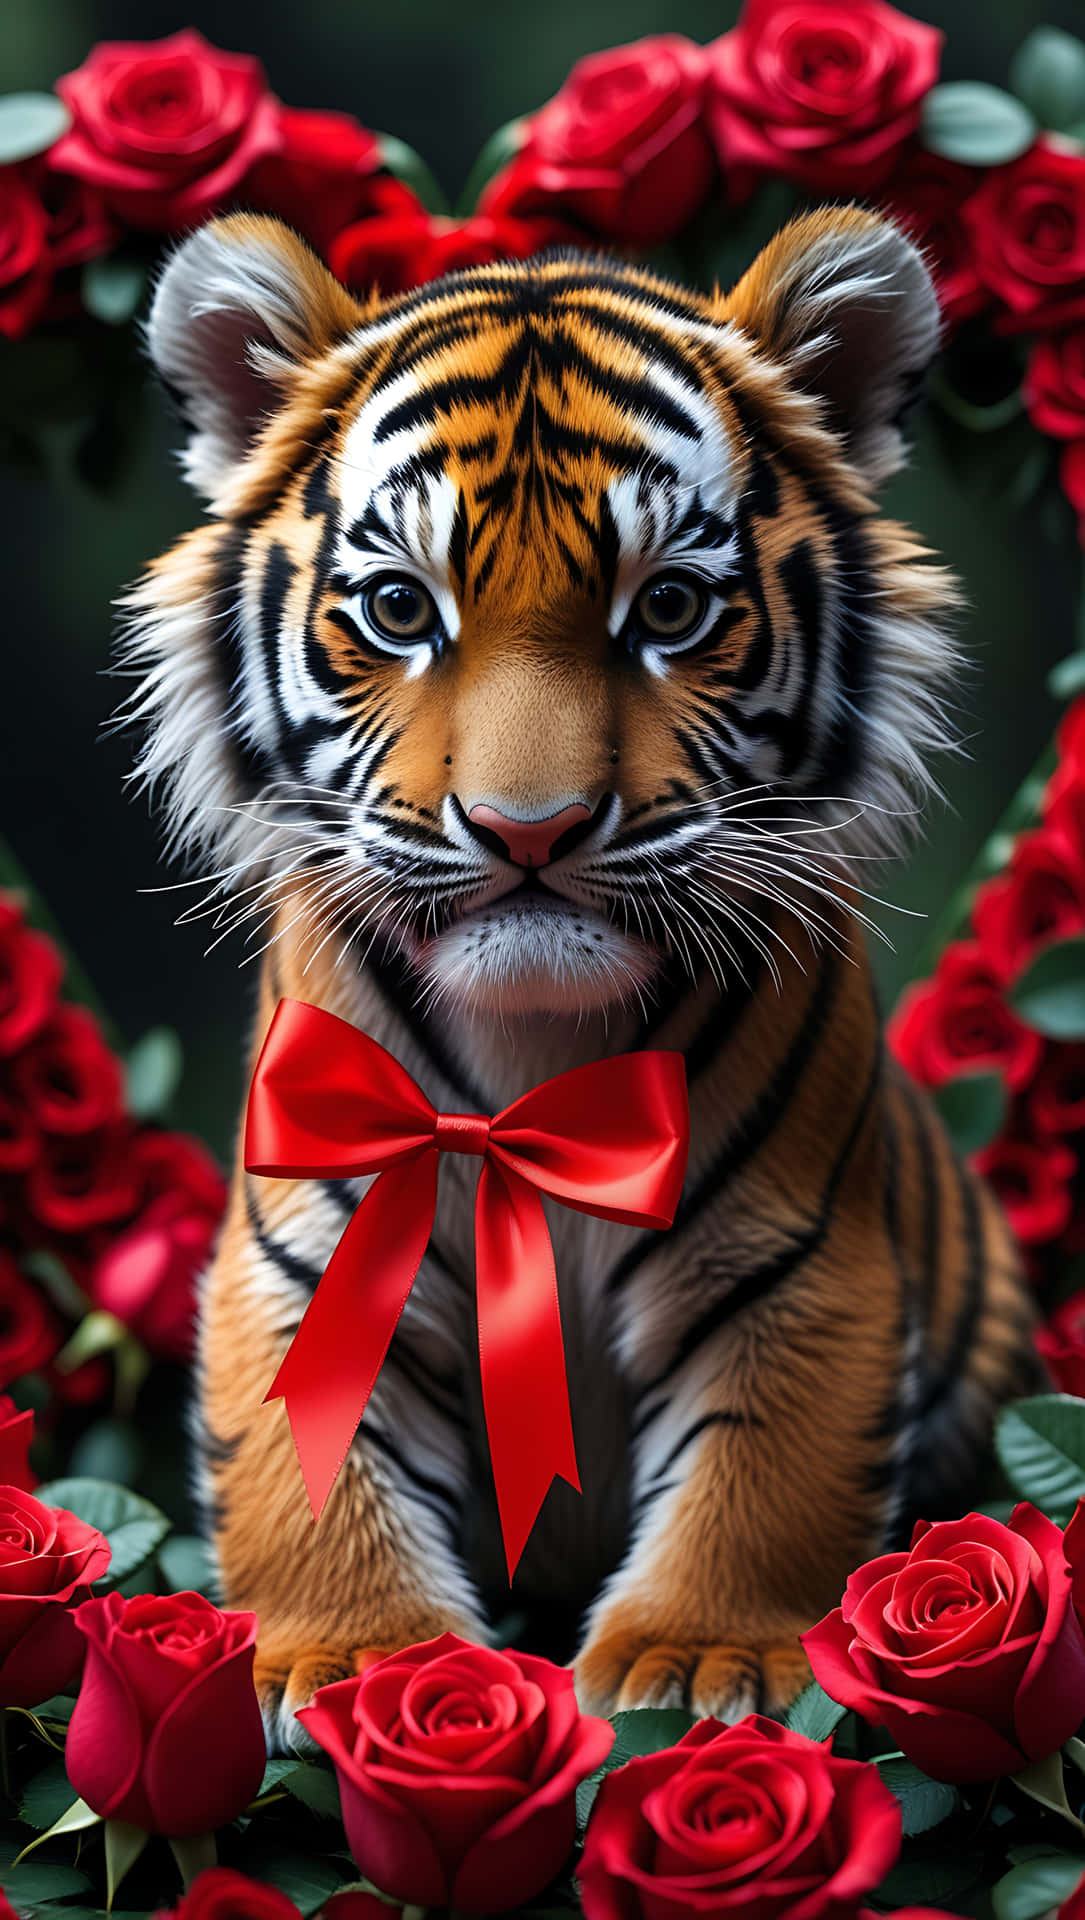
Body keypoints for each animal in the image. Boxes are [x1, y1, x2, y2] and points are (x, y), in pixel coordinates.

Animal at [119, 202, 1035, 1751]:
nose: (529, 830)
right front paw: (357, 1657)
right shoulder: (310, 1247)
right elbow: (311, 1468)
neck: (530, 1063)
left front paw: (696, 1659)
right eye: (397, 607)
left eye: (666, 608)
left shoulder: (796, 1261)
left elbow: (767, 1475)